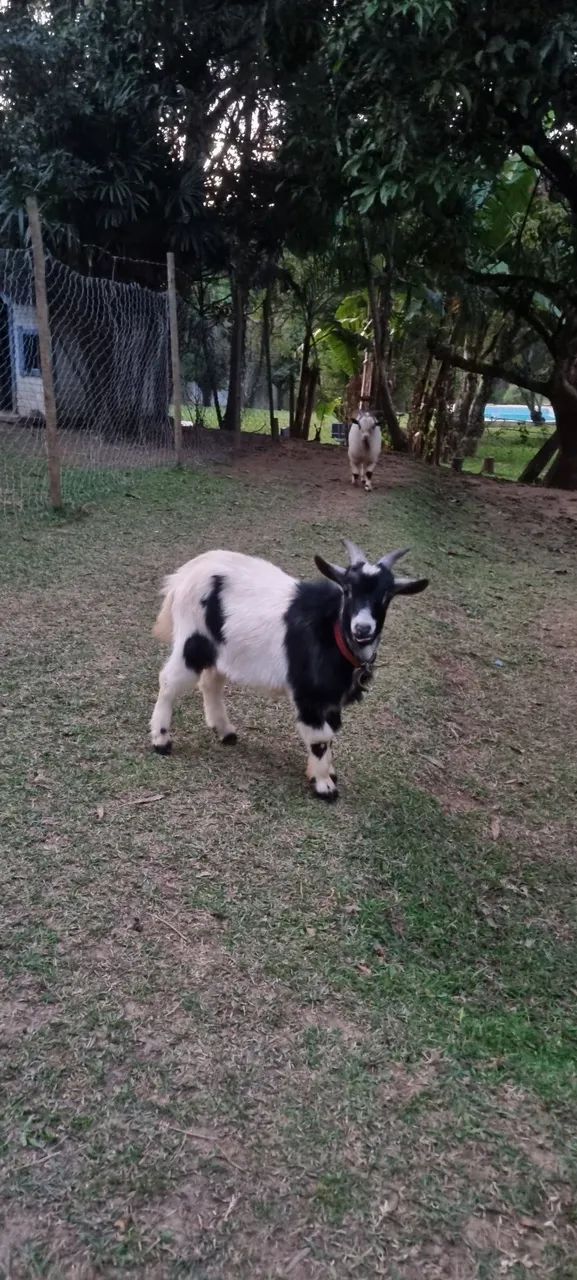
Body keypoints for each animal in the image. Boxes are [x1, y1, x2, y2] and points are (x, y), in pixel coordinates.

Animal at [150, 541, 428, 801]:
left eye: (386, 595)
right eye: (347, 590)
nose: (362, 629)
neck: (335, 634)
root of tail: (184, 575)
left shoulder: (331, 700)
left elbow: (331, 733)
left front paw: (326, 771)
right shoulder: (310, 696)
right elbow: (319, 738)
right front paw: (324, 785)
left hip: (221, 648)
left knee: (210, 683)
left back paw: (225, 731)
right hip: (192, 640)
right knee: (169, 681)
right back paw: (161, 740)